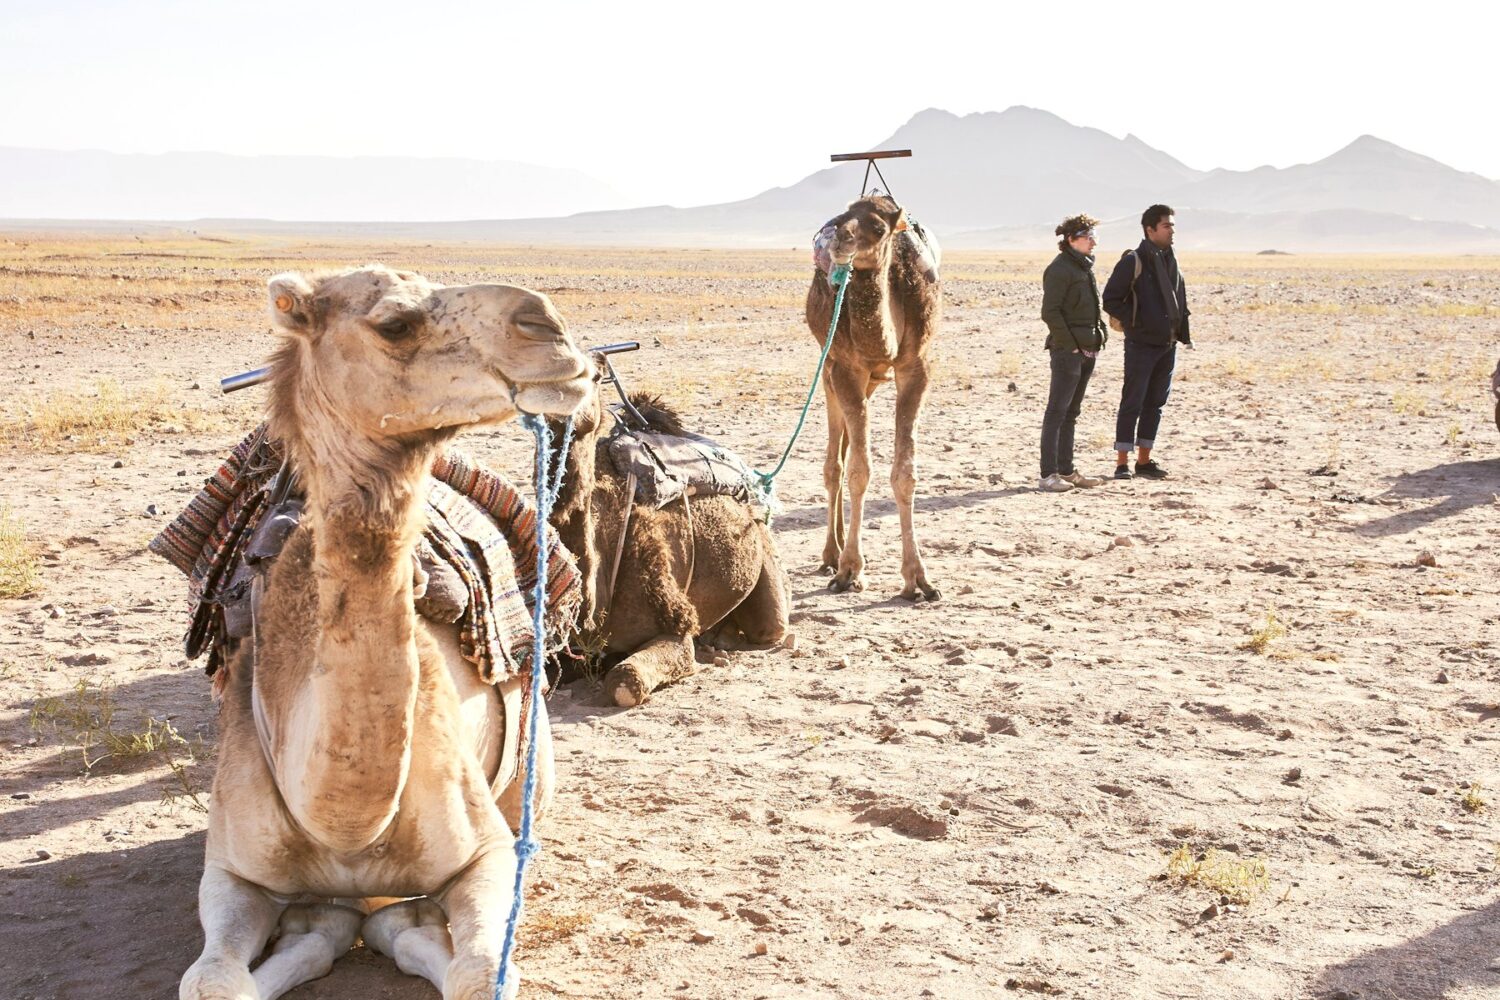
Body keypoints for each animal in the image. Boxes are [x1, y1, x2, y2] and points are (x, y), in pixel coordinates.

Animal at [178, 264, 592, 1000]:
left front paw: (400, 925)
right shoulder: (230, 868)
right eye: (394, 323)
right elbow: (213, 981)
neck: (348, 829)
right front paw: (320, 926)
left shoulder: (487, 853)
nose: (549, 328)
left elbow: (481, 970)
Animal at [806, 194, 943, 601]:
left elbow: (905, 473)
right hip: (828, 367)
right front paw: (850, 570)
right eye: (842, 217)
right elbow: (857, 471)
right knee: (835, 462)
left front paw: (918, 579)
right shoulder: (846, 368)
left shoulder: (916, 366)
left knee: (845, 448)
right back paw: (831, 554)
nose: (839, 239)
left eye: (879, 227)